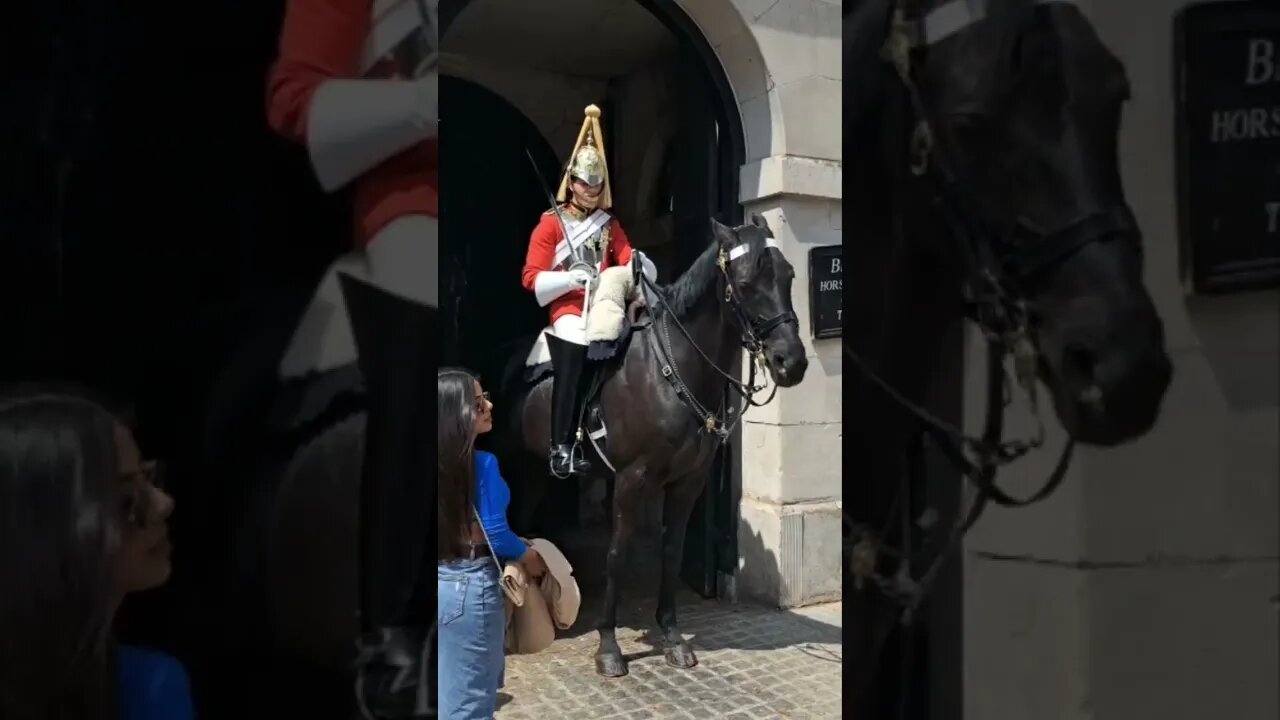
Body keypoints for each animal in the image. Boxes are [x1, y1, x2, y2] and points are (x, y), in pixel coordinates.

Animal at [501, 215, 808, 676]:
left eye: (788, 275)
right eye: (745, 281)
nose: (793, 362)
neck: (673, 370)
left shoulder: (688, 481)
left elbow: (671, 550)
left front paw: (672, 637)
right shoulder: (631, 479)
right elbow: (616, 554)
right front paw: (608, 646)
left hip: (538, 470)